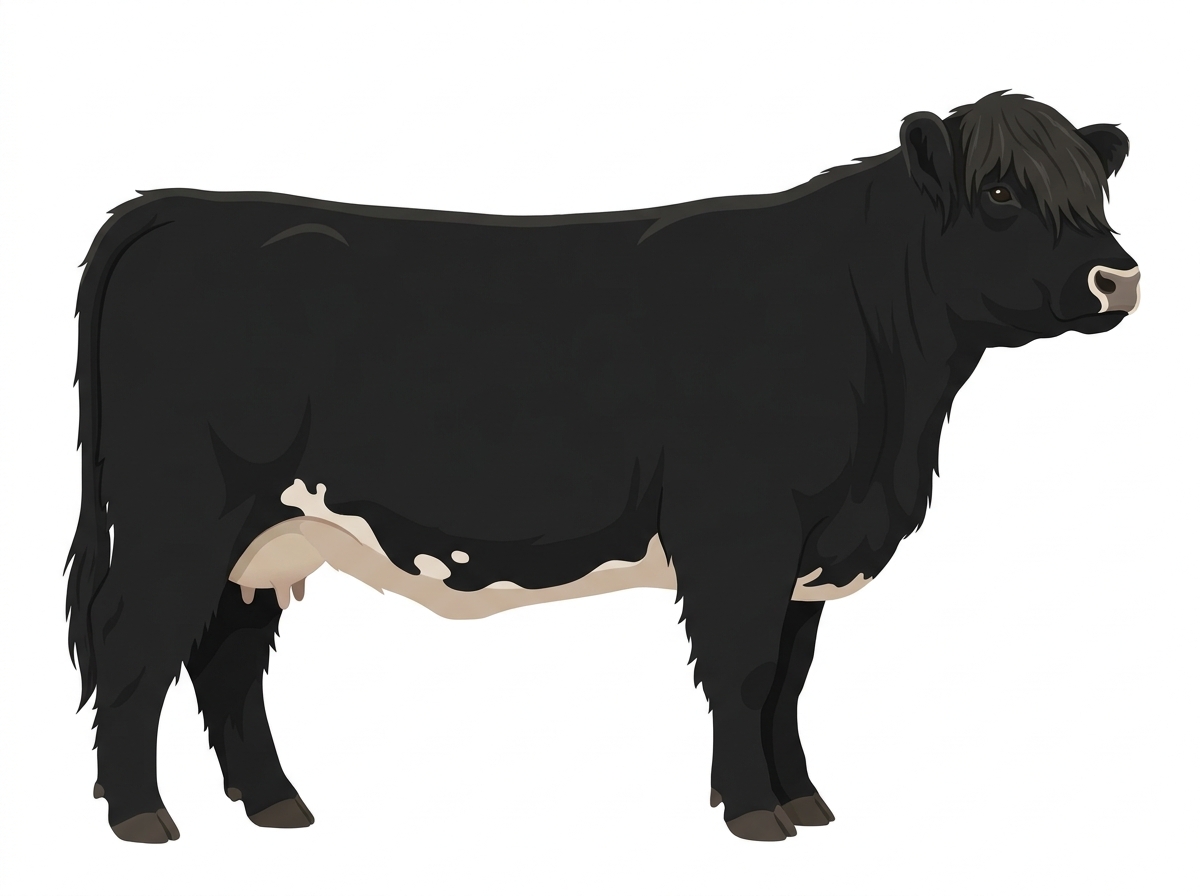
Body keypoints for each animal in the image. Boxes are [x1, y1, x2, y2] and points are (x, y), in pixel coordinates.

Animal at [65, 90, 1139, 843]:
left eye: (1093, 187)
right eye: (999, 191)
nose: (1118, 277)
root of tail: (175, 207)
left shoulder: (808, 549)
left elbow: (791, 680)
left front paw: (804, 800)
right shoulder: (741, 530)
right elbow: (747, 672)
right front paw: (754, 813)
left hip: (267, 529)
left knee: (226, 654)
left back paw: (275, 804)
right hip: (179, 513)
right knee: (133, 641)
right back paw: (139, 818)